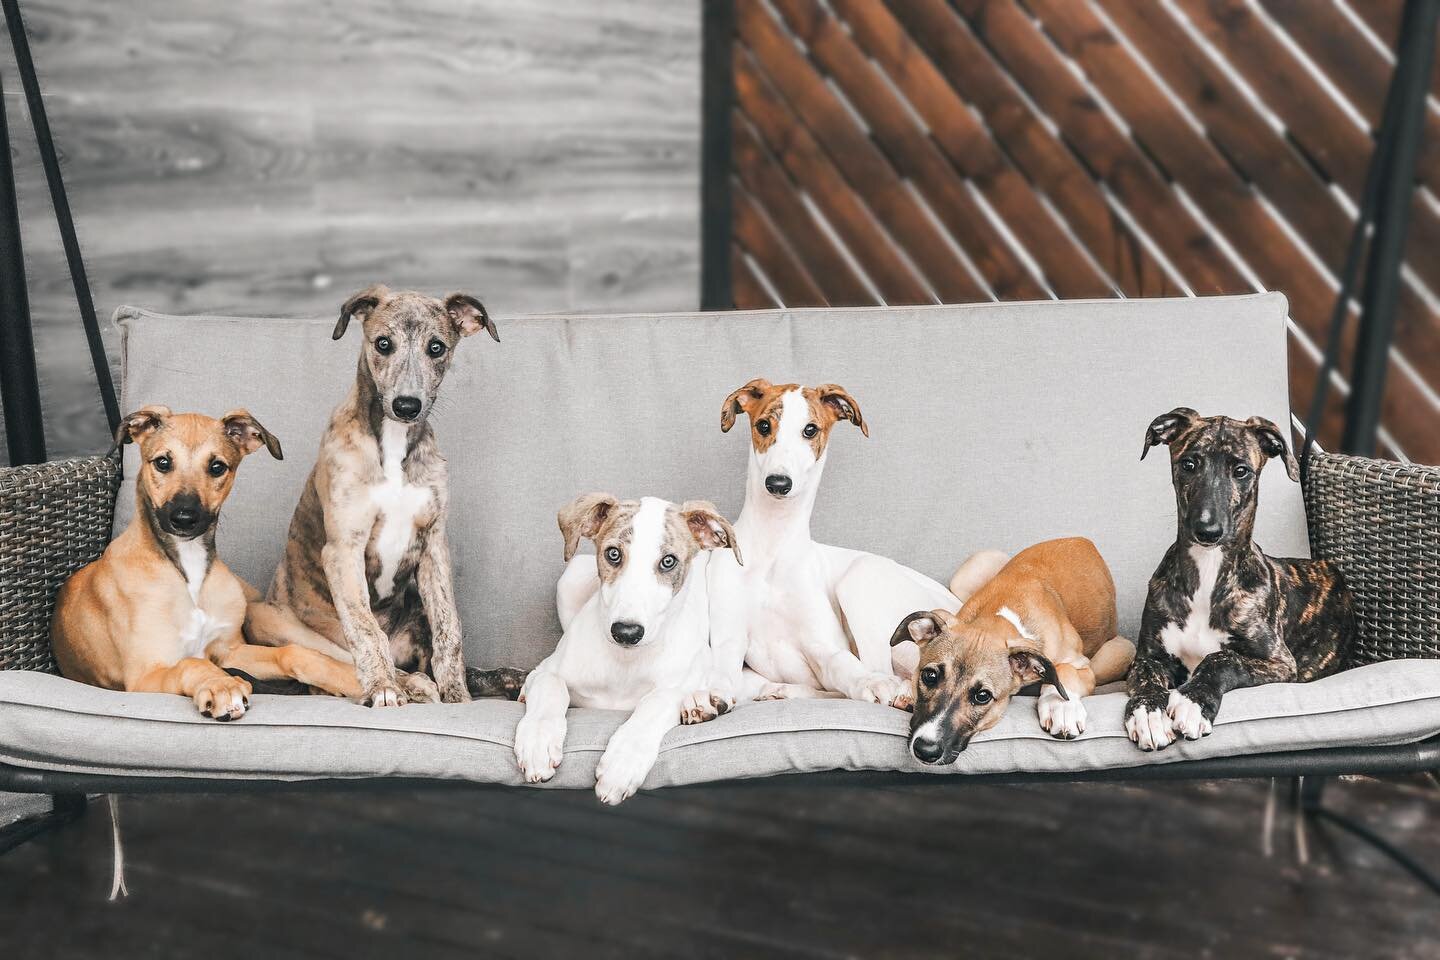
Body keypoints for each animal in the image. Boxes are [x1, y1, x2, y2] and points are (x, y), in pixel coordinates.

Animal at [52, 405, 362, 719]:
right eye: (163, 462)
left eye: (217, 467)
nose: (184, 518)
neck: (188, 569)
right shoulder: (145, 674)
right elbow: (193, 663)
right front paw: (221, 685)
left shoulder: (230, 651)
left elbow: (292, 652)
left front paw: (353, 678)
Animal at [515, 495, 743, 805]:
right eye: (613, 554)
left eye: (668, 561)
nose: (626, 632)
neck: (625, 662)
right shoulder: (544, 671)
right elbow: (551, 685)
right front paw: (537, 742)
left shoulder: (672, 686)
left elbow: (656, 702)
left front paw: (622, 763)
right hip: (570, 577)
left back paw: (705, 699)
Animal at [887, 541, 1134, 765]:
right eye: (929, 676)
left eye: (983, 696)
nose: (925, 750)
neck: (1000, 619)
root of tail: (1083, 541)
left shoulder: (1082, 665)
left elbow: (1064, 671)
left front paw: (1062, 707)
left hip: (1119, 651)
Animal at [1128, 408, 1353, 754]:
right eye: (1188, 464)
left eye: (1241, 471)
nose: (1207, 530)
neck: (1208, 570)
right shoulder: (1148, 657)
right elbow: (1146, 678)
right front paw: (1148, 713)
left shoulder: (1279, 662)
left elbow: (1222, 658)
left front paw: (1193, 701)